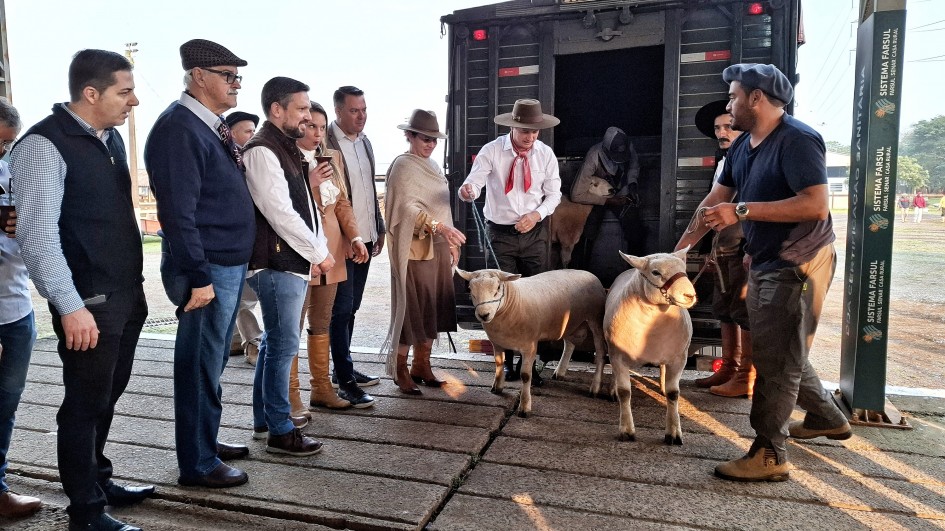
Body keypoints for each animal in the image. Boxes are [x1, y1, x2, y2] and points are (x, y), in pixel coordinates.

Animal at [456, 268, 604, 418]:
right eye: (470, 289)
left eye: (498, 288)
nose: (483, 315)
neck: (512, 301)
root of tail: (586, 272)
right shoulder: (497, 343)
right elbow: (499, 364)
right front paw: (497, 387)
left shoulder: (529, 346)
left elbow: (526, 376)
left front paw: (525, 407)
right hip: (570, 323)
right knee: (569, 344)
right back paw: (560, 372)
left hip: (596, 320)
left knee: (600, 352)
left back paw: (595, 388)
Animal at [604, 249, 692, 444]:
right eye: (656, 272)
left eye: (684, 269)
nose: (690, 295)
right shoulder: (618, 356)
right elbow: (624, 392)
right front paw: (626, 431)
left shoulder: (679, 358)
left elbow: (674, 393)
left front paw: (673, 433)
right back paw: (612, 390)